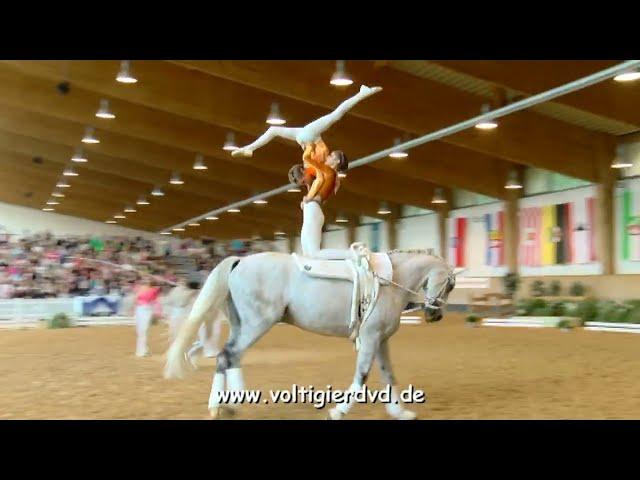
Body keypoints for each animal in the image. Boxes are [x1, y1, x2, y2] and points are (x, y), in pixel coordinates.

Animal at [165, 249, 456, 418]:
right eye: (450, 284)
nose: (435, 315)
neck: (391, 282)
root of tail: (241, 261)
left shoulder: (381, 339)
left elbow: (389, 374)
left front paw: (399, 411)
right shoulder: (371, 338)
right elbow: (362, 376)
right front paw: (338, 410)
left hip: (242, 325)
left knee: (230, 357)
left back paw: (230, 404)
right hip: (257, 324)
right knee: (227, 355)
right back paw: (220, 405)